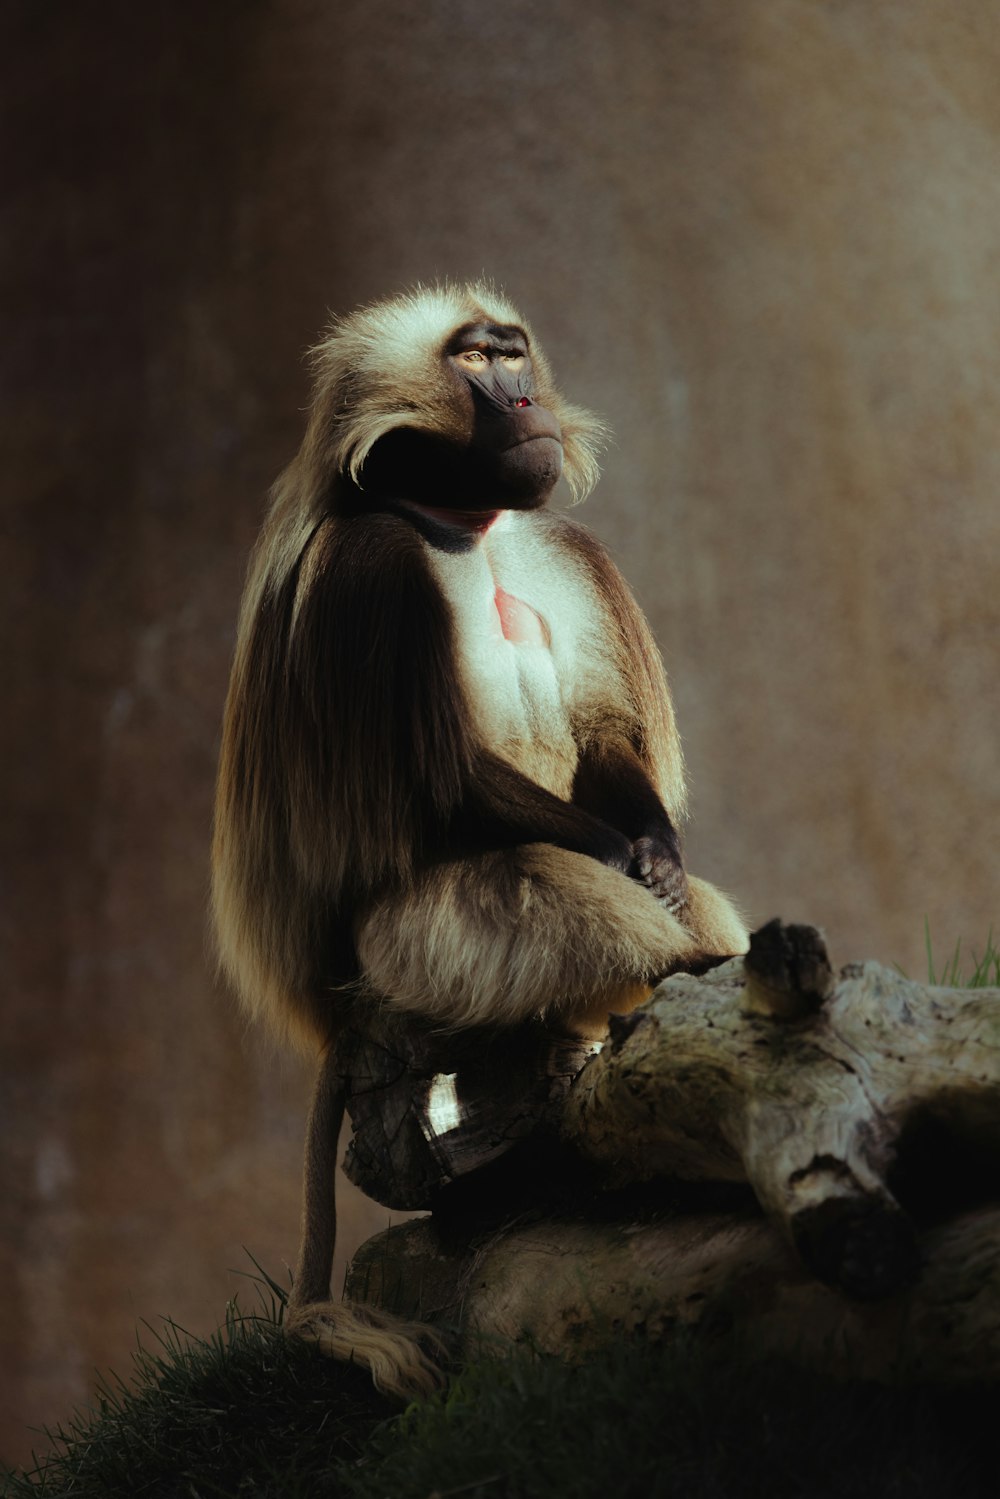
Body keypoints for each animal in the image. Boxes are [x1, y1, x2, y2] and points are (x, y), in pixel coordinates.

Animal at [211, 278, 746, 1391]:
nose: (524, 396)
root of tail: (342, 1014)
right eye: (475, 360)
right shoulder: (372, 571)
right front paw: (626, 864)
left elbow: (603, 730)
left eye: (511, 351)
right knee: (552, 898)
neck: (470, 524)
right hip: (398, 956)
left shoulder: (569, 556)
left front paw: (658, 854)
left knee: (696, 915)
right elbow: (441, 780)